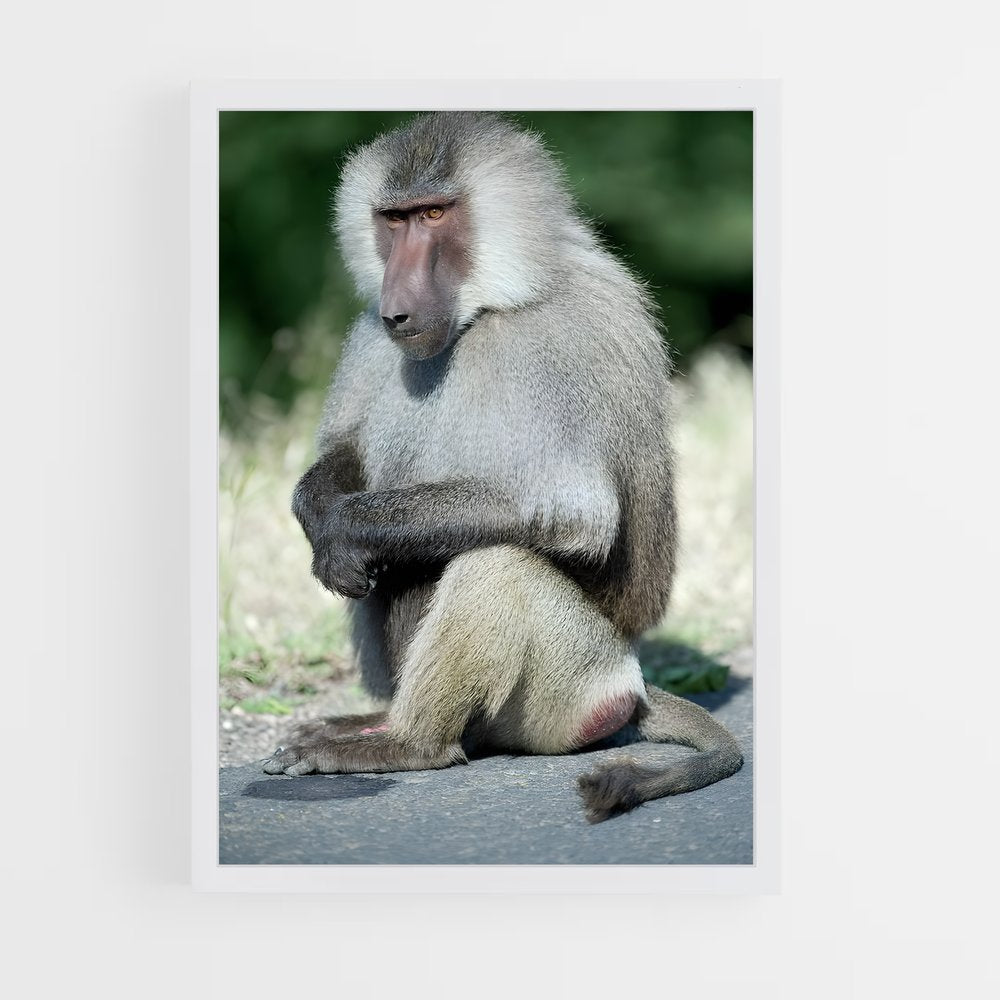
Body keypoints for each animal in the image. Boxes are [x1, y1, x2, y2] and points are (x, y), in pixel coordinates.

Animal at [263, 111, 744, 823]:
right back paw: (372, 722)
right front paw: (321, 518)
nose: (397, 307)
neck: (486, 311)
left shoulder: (557, 345)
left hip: (572, 684)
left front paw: (345, 533)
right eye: (394, 219)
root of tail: (631, 687)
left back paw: (404, 744)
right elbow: (344, 454)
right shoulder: (370, 338)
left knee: (498, 563)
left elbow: (572, 515)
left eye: (435, 214)